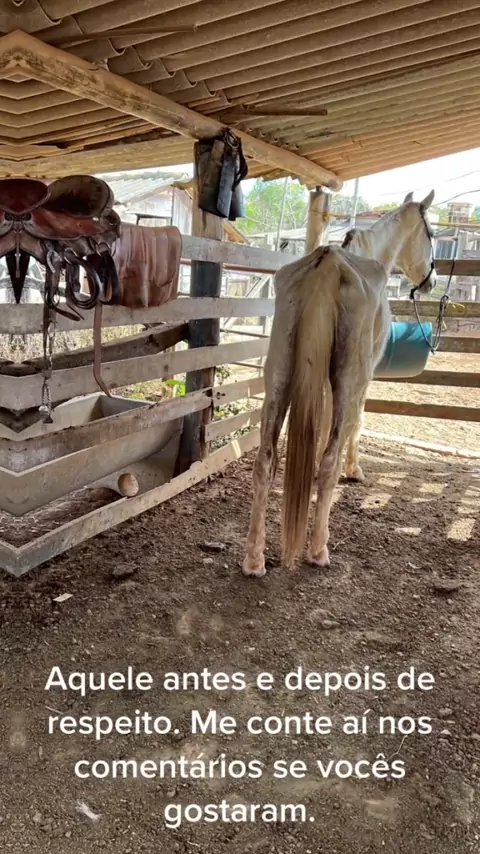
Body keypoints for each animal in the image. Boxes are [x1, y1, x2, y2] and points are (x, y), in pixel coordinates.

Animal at [243, 190, 436, 578]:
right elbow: (355, 423)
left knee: (265, 460)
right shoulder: (364, 378)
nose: (430, 281)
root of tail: (327, 267)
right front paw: (355, 469)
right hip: (350, 377)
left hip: (278, 378)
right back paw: (318, 549)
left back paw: (254, 560)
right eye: (431, 233)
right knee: (328, 461)